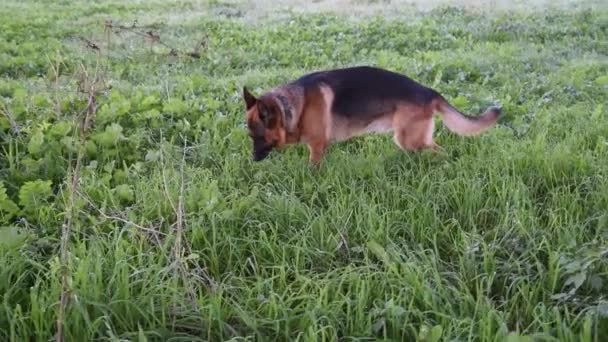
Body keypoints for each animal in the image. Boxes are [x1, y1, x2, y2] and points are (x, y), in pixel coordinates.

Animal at [241, 66, 498, 166]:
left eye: (258, 137)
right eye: (250, 137)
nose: (252, 160)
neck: (295, 105)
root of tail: (428, 91)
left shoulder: (317, 147)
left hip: (410, 139)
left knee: (440, 151)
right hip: (411, 140)